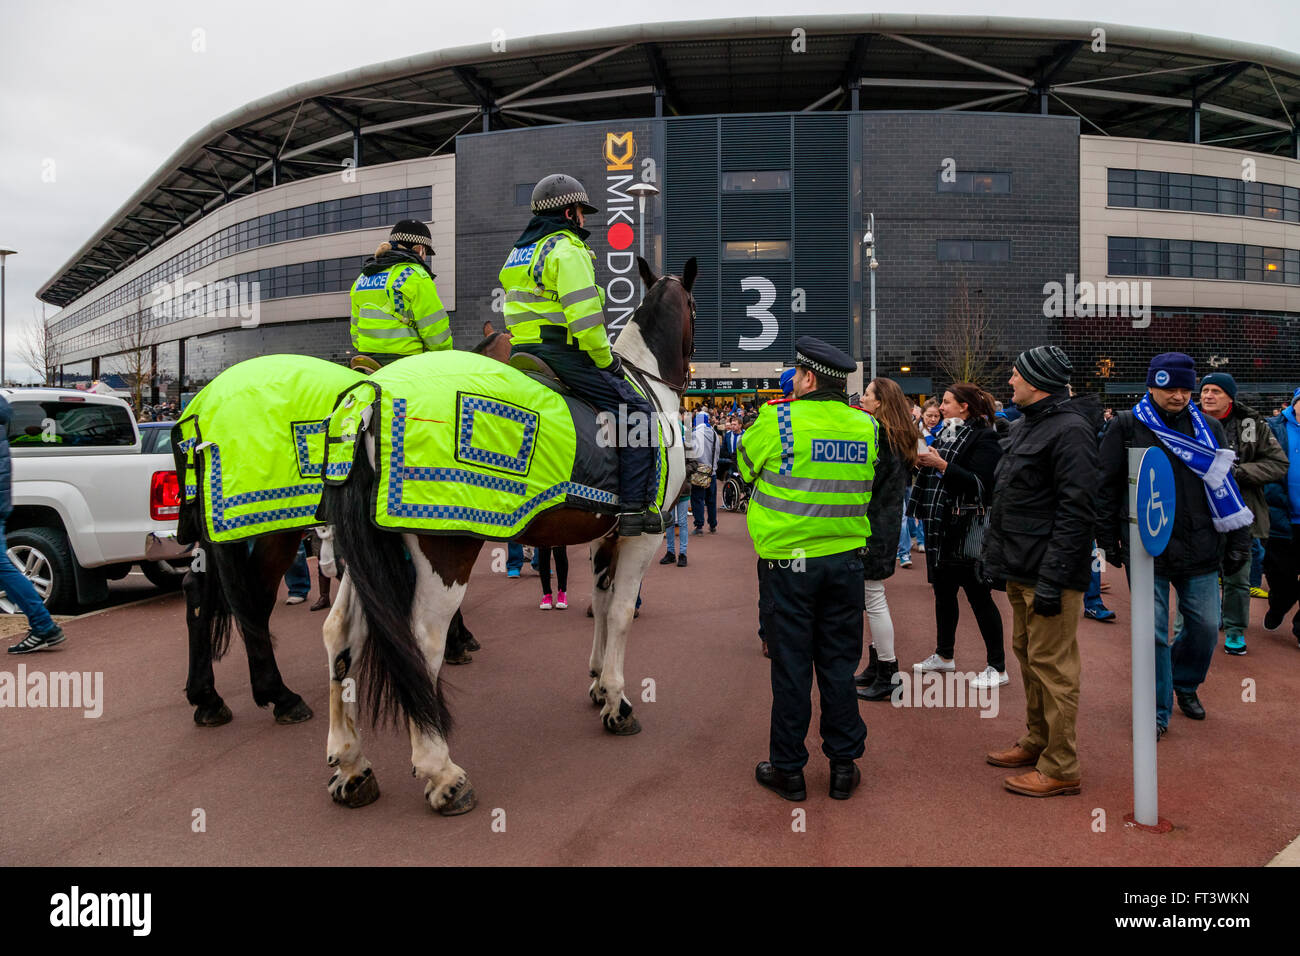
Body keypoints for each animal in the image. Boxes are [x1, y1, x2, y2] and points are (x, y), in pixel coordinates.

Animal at [318, 256, 696, 816]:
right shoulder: (642, 537)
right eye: (694, 306)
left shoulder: (605, 537)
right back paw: (442, 773)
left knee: (342, 634)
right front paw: (617, 701)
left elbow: (601, 604)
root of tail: (372, 396)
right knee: (423, 640)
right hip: (445, 549)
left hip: (366, 551)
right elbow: (623, 613)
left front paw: (595, 683)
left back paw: (350, 765)